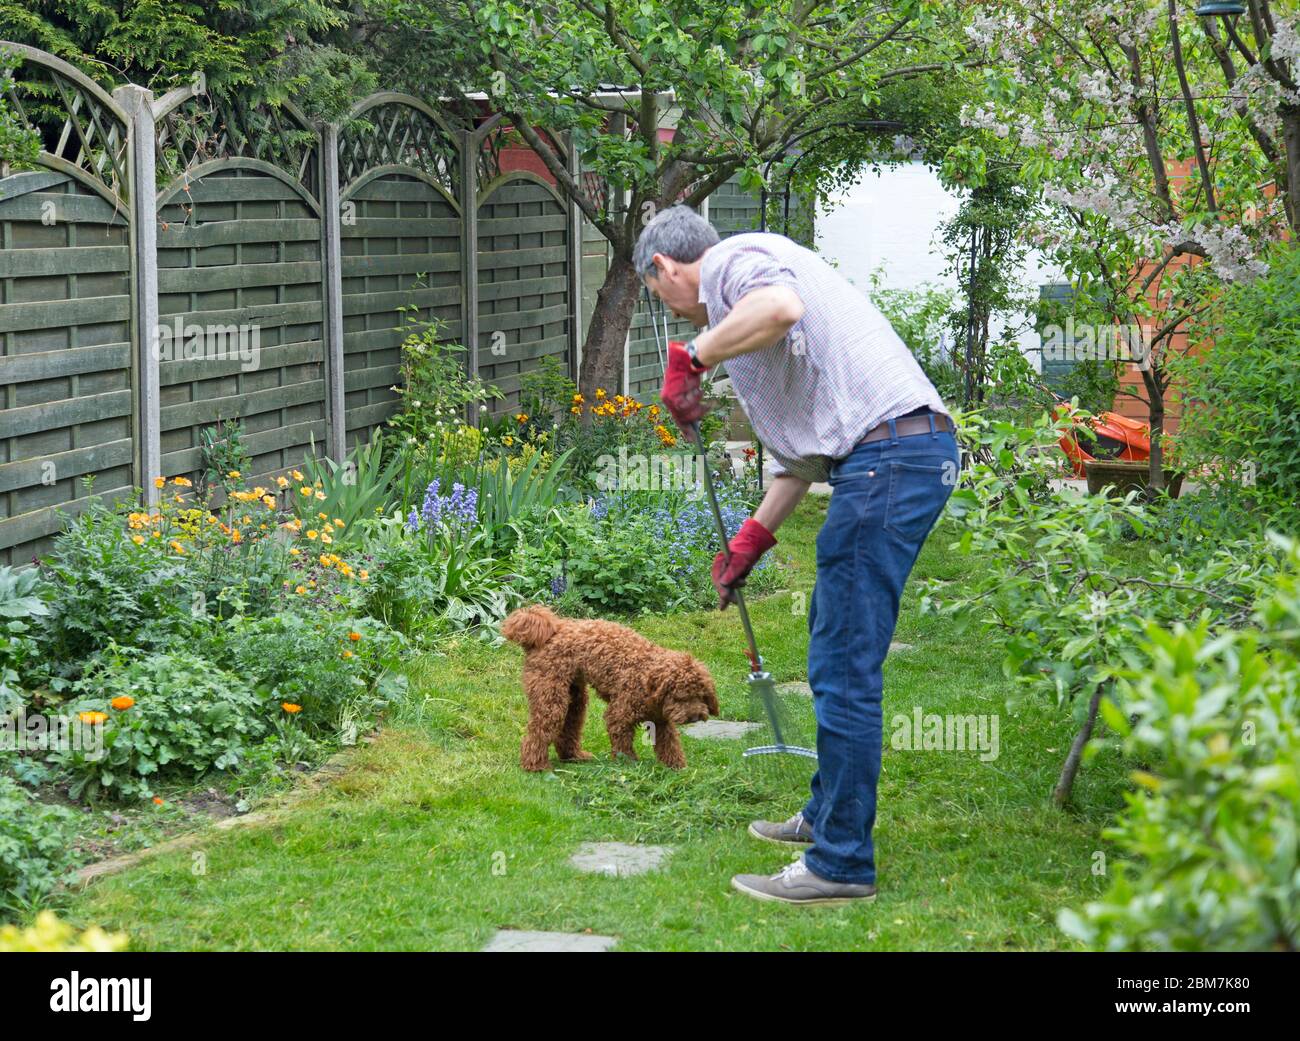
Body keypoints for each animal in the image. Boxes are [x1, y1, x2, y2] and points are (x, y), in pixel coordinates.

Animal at [499, 600, 722, 769]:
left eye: (701, 696)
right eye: (680, 696)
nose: (694, 717)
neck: (648, 678)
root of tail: (551, 631)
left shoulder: (661, 721)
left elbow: (670, 746)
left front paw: (677, 768)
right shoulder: (619, 716)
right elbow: (623, 746)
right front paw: (630, 765)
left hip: (574, 698)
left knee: (567, 729)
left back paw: (574, 756)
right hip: (551, 698)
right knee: (538, 731)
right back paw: (535, 766)